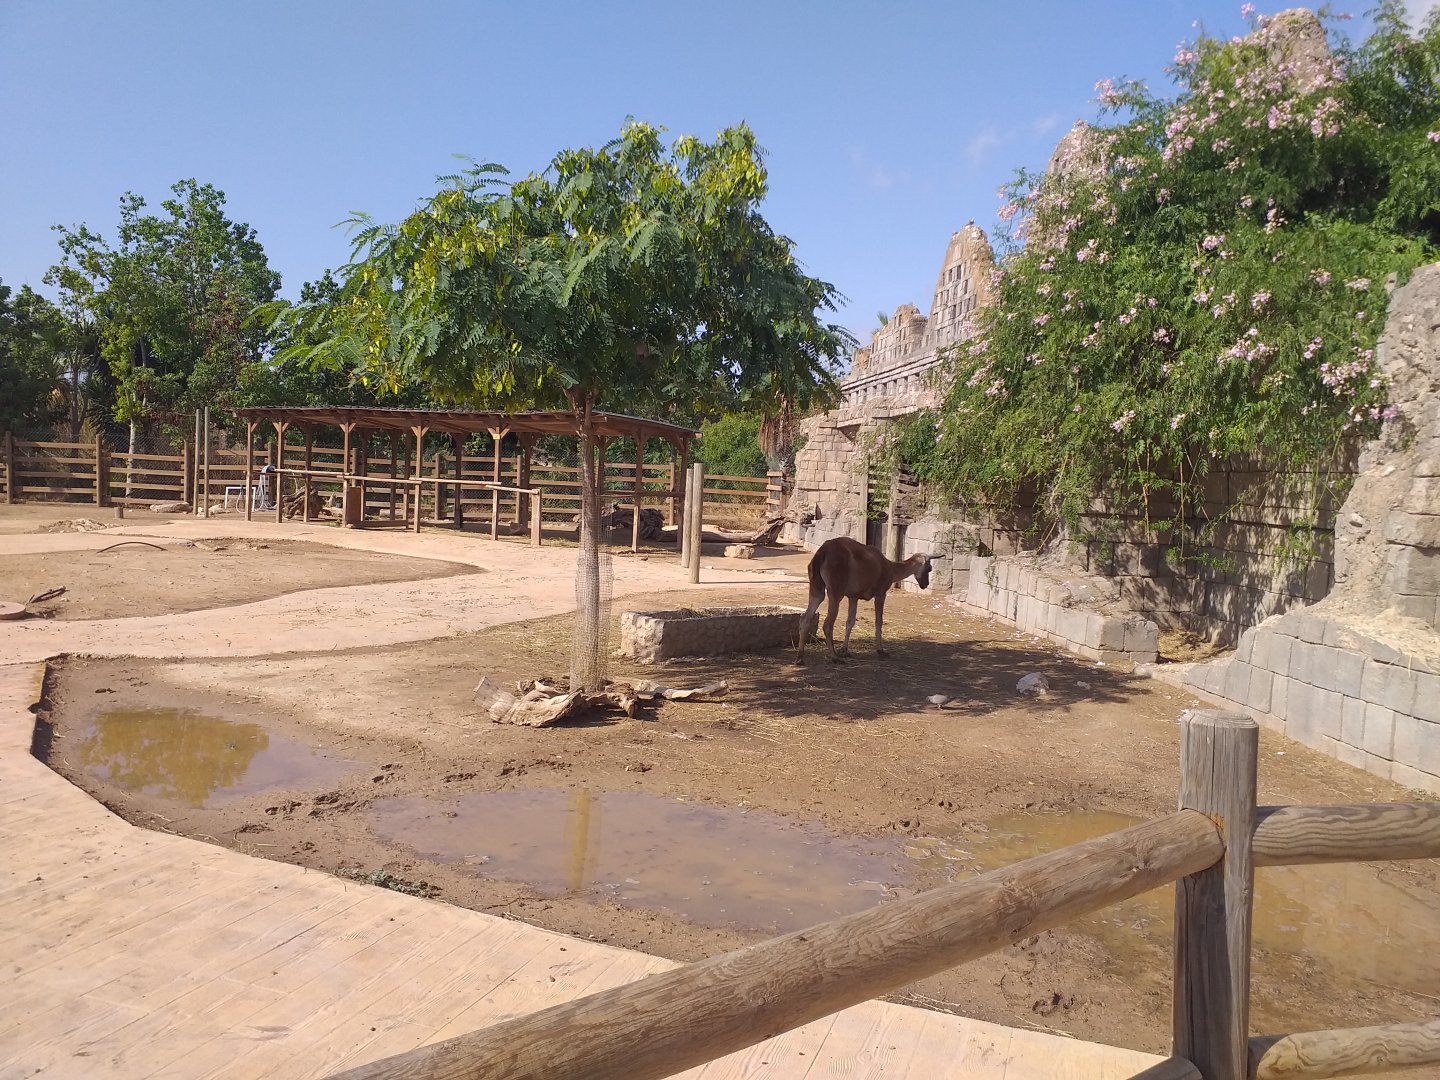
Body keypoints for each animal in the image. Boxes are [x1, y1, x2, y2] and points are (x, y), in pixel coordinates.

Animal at [796, 536, 933, 662]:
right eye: (929, 568)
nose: (925, 584)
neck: (890, 568)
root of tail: (822, 552)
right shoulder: (880, 593)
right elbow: (878, 621)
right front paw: (881, 651)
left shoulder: (853, 596)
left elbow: (850, 622)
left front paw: (844, 650)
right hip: (835, 592)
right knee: (827, 624)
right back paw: (834, 657)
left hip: (816, 588)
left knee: (805, 618)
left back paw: (800, 657)